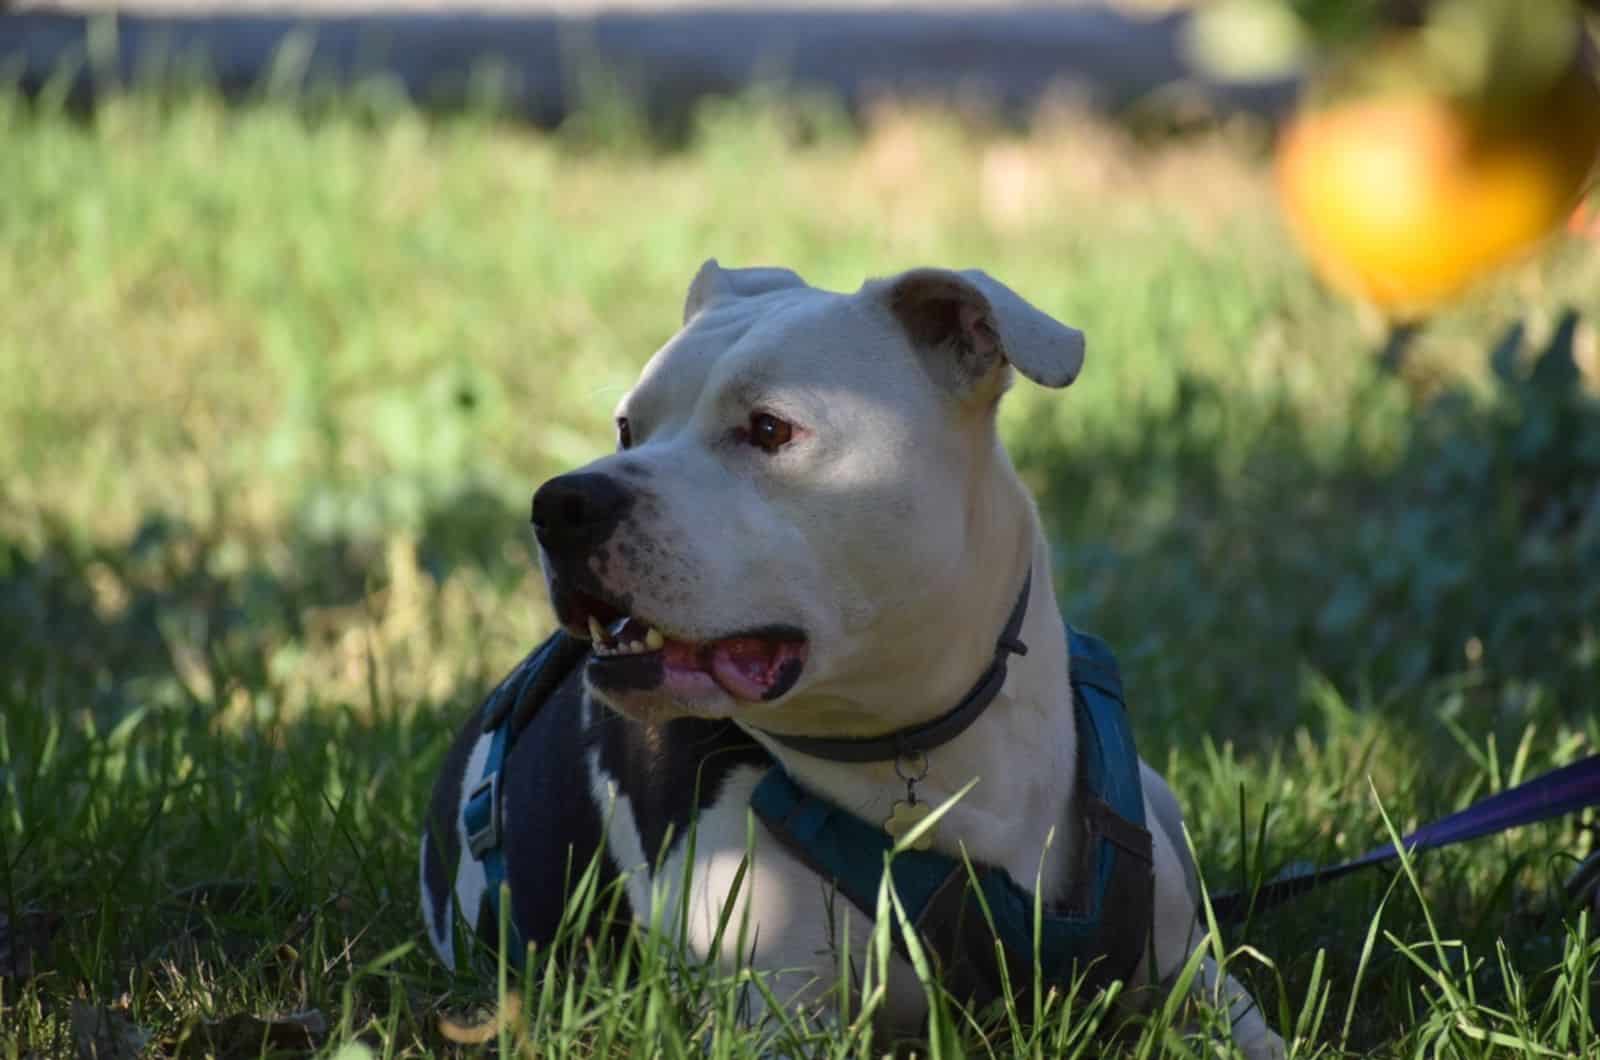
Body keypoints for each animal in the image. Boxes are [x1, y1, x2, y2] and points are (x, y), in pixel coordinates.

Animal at [416, 260, 1286, 1056]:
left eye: (770, 430)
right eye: (628, 427)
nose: (561, 503)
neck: (924, 745)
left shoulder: (1193, 976)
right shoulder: (771, 1017)